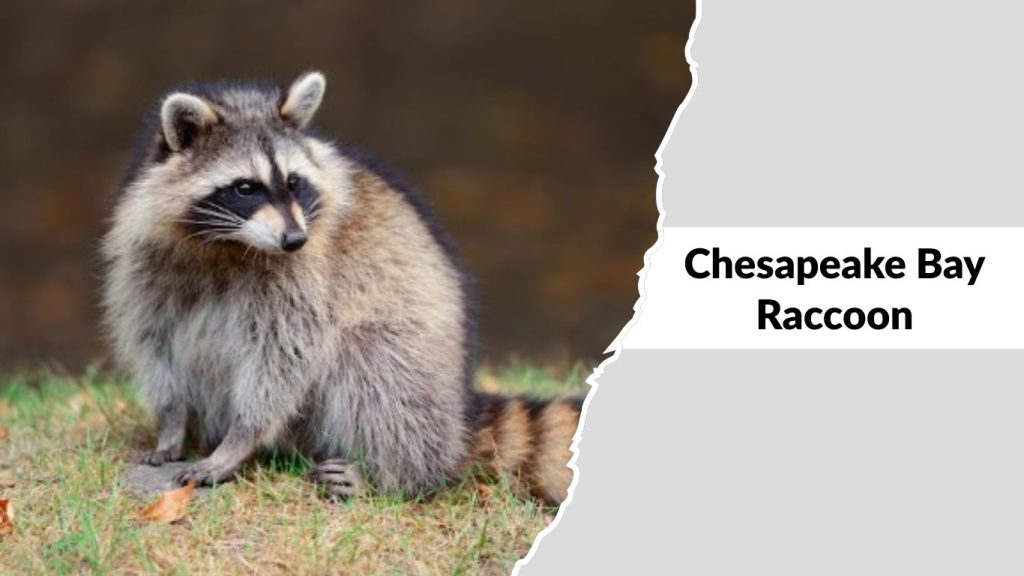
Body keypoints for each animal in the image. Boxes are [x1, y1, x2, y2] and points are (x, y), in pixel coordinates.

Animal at [101, 71, 582, 503]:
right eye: (245, 187)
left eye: (293, 182)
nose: (295, 239)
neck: (227, 244)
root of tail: (459, 415)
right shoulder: (147, 266)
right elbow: (156, 343)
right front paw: (171, 424)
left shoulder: (304, 279)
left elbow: (283, 359)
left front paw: (240, 439)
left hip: (417, 362)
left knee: (376, 370)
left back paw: (394, 475)